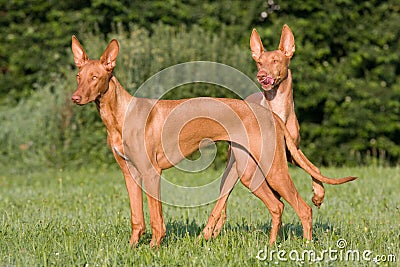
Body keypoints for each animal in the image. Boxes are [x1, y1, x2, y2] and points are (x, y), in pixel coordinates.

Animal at [70, 35, 354, 247]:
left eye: (95, 77)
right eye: (79, 77)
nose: (75, 98)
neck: (120, 115)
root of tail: (270, 114)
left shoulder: (151, 173)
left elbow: (156, 219)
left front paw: (153, 248)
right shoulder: (129, 173)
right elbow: (136, 217)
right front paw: (132, 247)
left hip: (274, 170)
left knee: (304, 208)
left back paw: (305, 246)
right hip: (250, 173)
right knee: (277, 206)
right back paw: (271, 245)